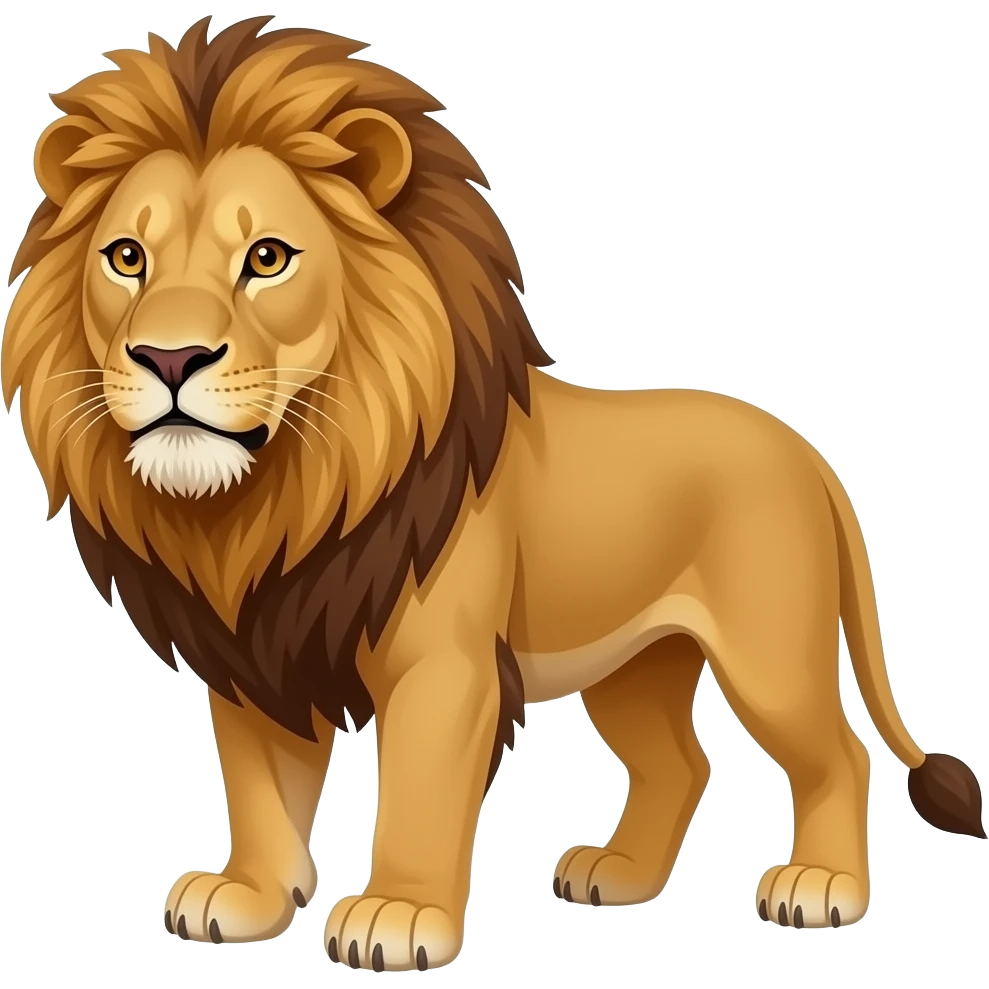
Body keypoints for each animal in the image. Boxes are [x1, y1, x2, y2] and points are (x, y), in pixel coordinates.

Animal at [1, 14, 983, 970]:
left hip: (767, 651)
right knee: (681, 763)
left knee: (837, 754)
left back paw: (821, 887)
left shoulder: (444, 664)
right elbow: (258, 785)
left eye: (268, 258)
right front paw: (245, 896)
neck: (278, 496)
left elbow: (420, 791)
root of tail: (808, 453)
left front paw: (399, 914)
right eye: (127, 257)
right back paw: (619, 874)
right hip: (633, 663)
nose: (168, 358)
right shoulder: (256, 651)